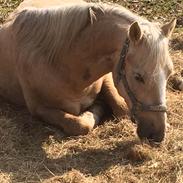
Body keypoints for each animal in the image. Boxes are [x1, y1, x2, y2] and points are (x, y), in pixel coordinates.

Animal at [0, 0, 176, 142]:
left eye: (169, 73)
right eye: (138, 76)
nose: (158, 134)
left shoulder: (107, 76)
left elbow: (121, 108)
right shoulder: (38, 109)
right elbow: (79, 124)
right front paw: (95, 110)